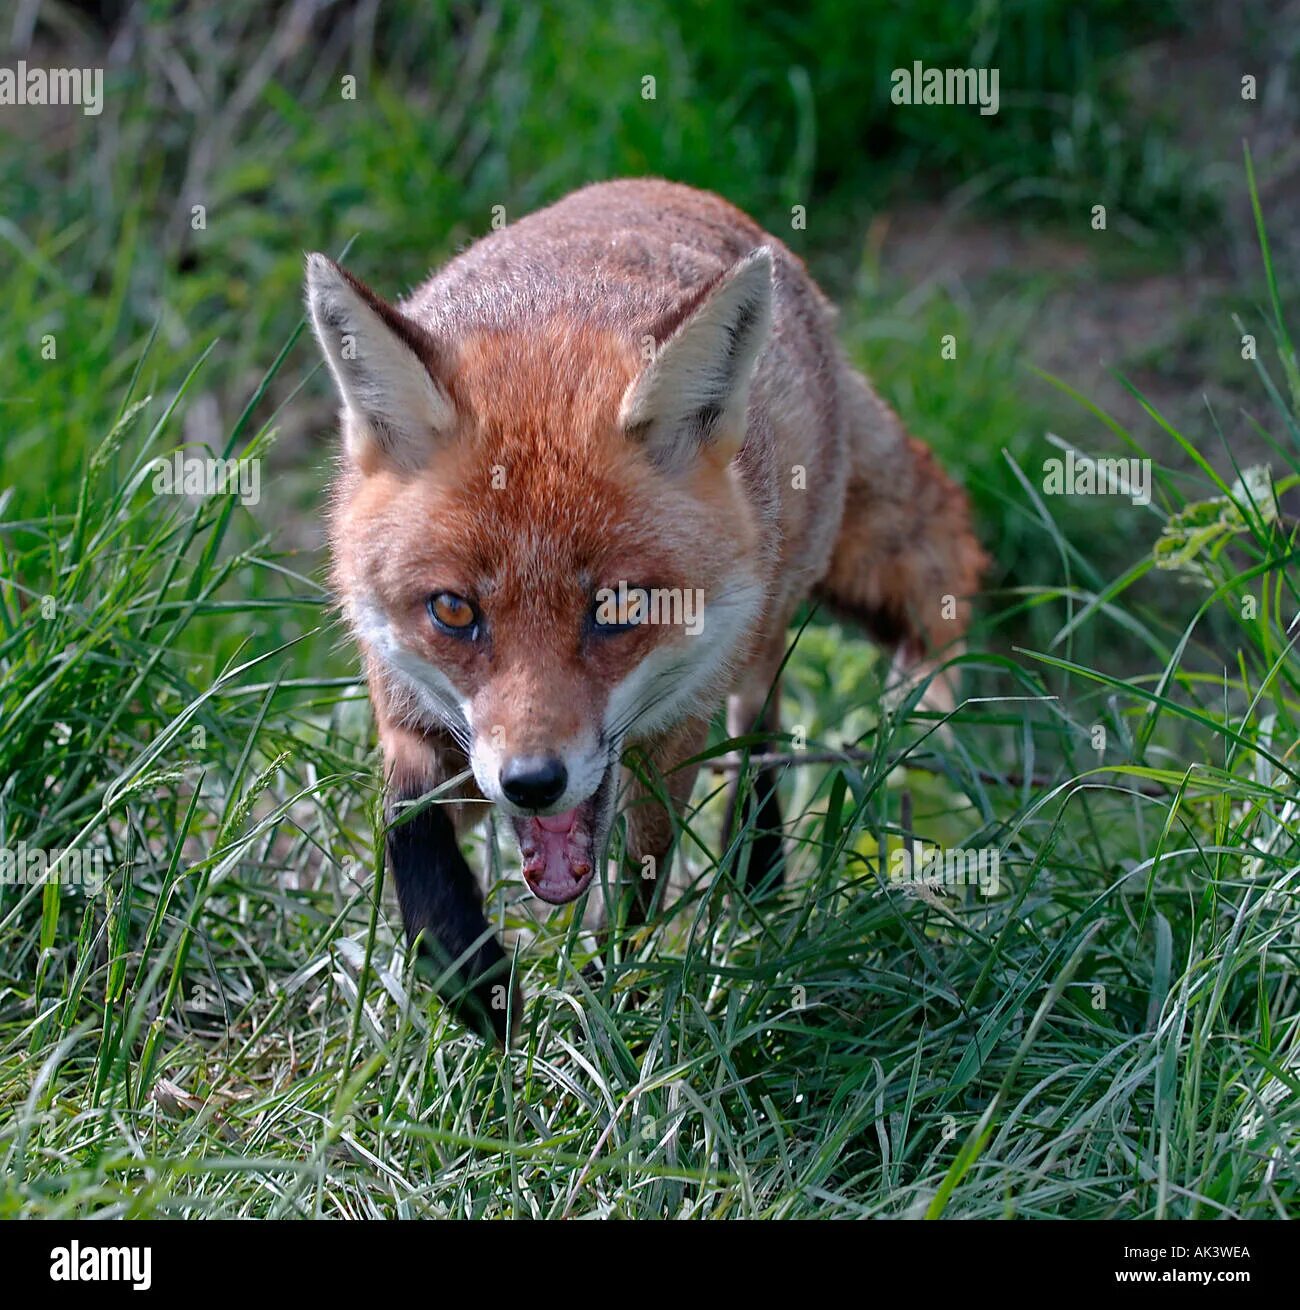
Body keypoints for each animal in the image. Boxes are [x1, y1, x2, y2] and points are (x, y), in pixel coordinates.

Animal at [304, 176, 980, 1042]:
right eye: (453, 611)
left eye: (619, 606)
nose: (532, 783)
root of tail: (671, 187)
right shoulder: (409, 711)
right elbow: (408, 841)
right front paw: (483, 991)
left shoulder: (669, 739)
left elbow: (631, 901)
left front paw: (599, 1023)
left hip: (756, 636)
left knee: (761, 728)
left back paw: (759, 878)